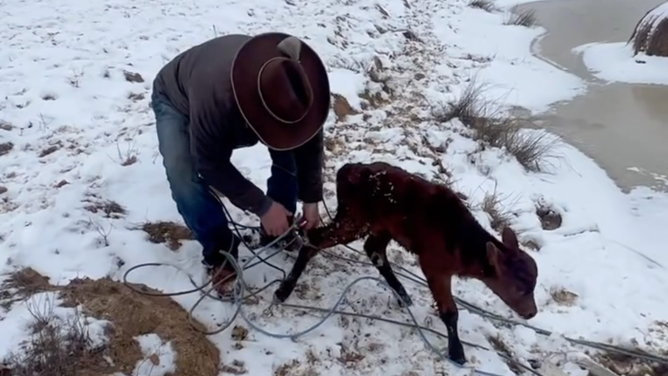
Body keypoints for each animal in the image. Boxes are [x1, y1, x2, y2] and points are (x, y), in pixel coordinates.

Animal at [274, 161, 540, 364]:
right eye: (520, 288)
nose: (532, 313)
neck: (460, 241)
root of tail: (348, 170)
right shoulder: (434, 265)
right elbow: (450, 312)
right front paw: (457, 353)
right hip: (354, 218)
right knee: (316, 239)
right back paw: (284, 290)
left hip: (379, 225)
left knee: (374, 250)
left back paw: (401, 293)